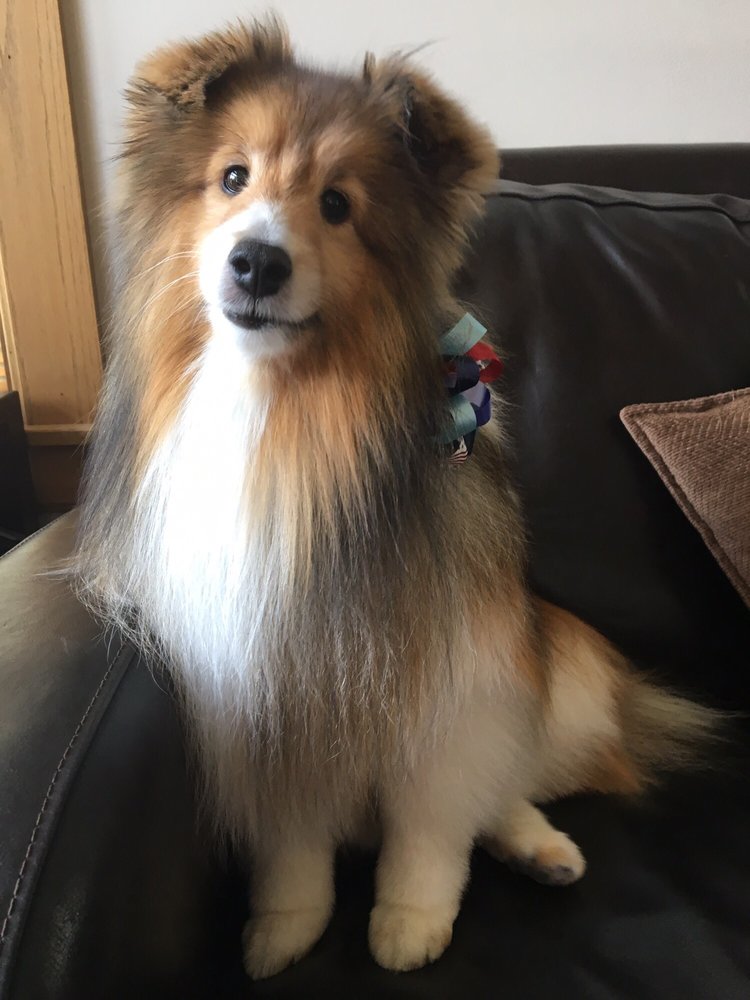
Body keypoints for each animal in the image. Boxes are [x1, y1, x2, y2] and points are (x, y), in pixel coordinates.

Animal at [74, 16, 716, 979]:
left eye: (338, 205)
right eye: (233, 178)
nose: (256, 261)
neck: (288, 418)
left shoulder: (448, 686)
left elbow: (431, 828)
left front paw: (410, 920)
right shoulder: (264, 704)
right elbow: (292, 846)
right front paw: (284, 926)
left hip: (543, 664)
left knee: (500, 784)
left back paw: (542, 846)